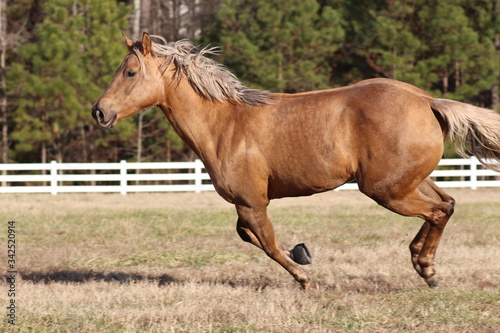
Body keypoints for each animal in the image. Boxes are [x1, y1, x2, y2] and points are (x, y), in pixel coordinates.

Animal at [92, 32, 500, 290]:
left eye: (130, 72)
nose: (100, 112)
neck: (225, 124)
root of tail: (427, 101)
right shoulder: (248, 203)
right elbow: (249, 236)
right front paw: (302, 254)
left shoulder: (251, 202)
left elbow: (268, 243)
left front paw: (305, 275)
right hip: (409, 181)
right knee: (447, 203)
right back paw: (421, 263)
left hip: (387, 190)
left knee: (438, 211)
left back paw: (427, 269)